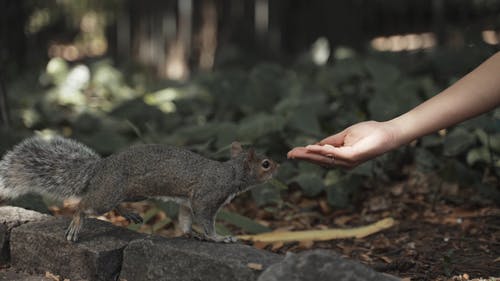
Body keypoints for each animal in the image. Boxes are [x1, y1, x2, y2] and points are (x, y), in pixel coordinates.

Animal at [0, 136, 278, 241]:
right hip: (109, 194)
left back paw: (129, 214)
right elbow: (206, 220)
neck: (231, 173)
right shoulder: (207, 197)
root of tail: (100, 167)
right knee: (83, 205)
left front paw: (190, 234)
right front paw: (219, 237)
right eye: (265, 164)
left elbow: (185, 219)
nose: (279, 166)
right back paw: (76, 224)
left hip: (129, 192)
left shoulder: (188, 202)